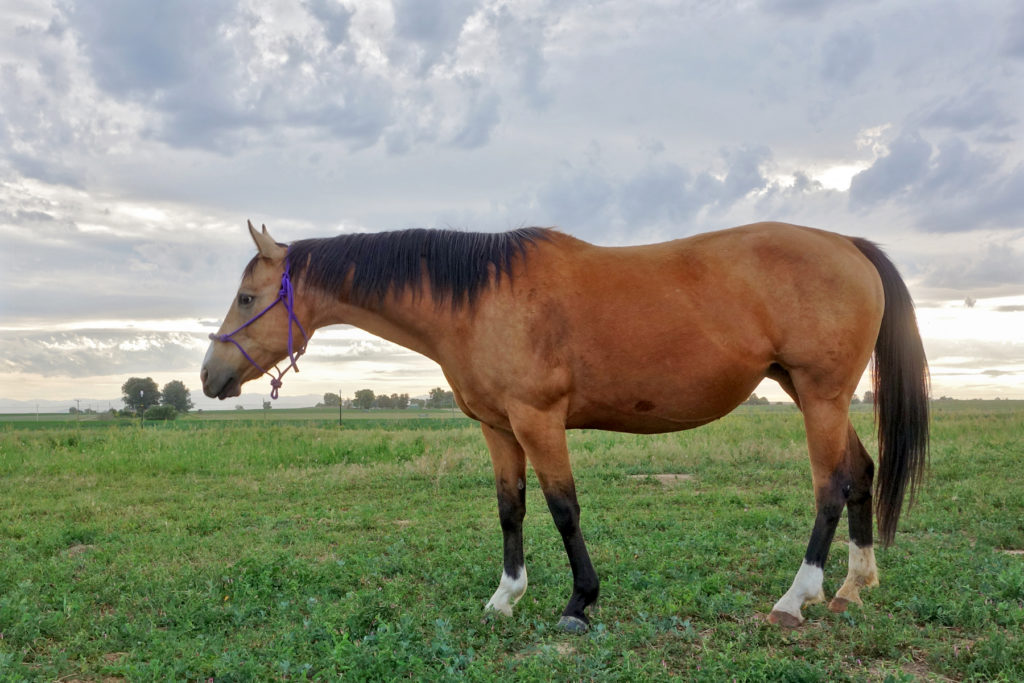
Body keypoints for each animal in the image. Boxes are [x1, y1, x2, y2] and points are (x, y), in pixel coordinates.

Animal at [199, 222, 929, 634]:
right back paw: (852, 587)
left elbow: (563, 509)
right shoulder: (499, 428)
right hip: (810, 394)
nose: (209, 375)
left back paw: (795, 598)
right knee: (860, 473)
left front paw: (579, 602)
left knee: (831, 487)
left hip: (821, 396)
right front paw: (504, 599)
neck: (478, 299)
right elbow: (512, 510)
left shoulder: (538, 420)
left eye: (246, 297)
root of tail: (848, 246)